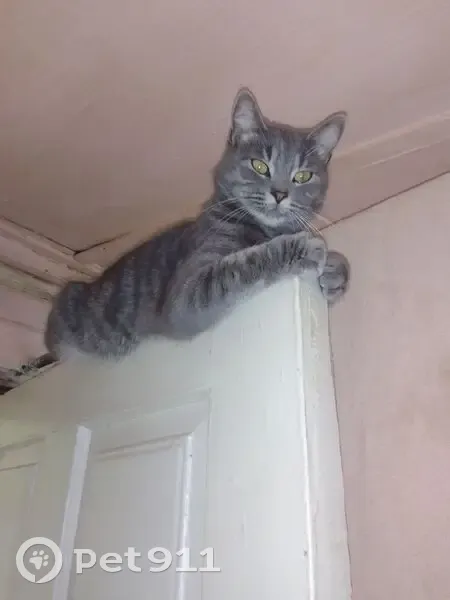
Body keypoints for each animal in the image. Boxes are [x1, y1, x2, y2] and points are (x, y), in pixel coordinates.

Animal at [45, 88, 350, 360]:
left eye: (303, 176)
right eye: (259, 165)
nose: (280, 193)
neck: (265, 229)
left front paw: (335, 272)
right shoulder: (187, 295)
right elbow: (241, 265)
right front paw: (305, 248)